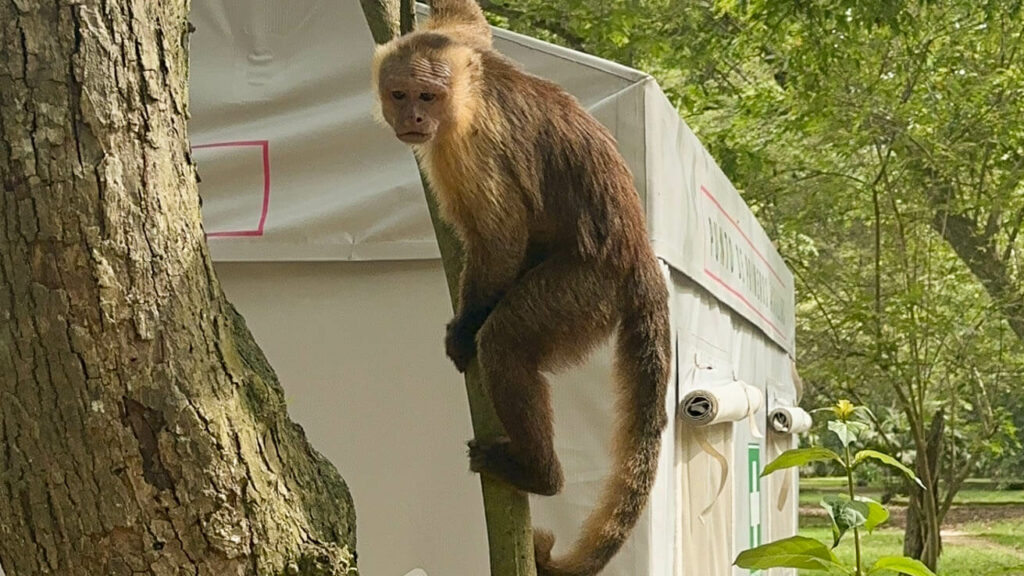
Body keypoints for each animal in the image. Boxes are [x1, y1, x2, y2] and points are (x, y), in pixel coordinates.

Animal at [372, 2, 675, 569]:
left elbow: (501, 236)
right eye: (400, 95)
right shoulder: (462, 43)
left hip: (590, 289)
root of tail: (641, 258)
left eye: (428, 97)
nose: (414, 120)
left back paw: (538, 473)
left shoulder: (473, 144)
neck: (467, 95)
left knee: (507, 341)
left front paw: (465, 328)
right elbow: (468, 19)